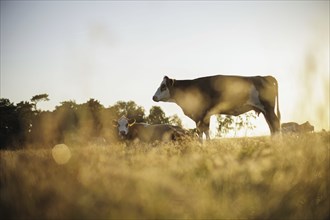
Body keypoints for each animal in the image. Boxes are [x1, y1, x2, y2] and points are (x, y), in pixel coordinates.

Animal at [153, 74, 282, 139]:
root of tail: (264, 76)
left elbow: (202, 132)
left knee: (275, 124)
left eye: (163, 86)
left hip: (268, 109)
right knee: (272, 126)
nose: (153, 97)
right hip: (265, 110)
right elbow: (204, 131)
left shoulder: (202, 115)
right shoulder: (202, 116)